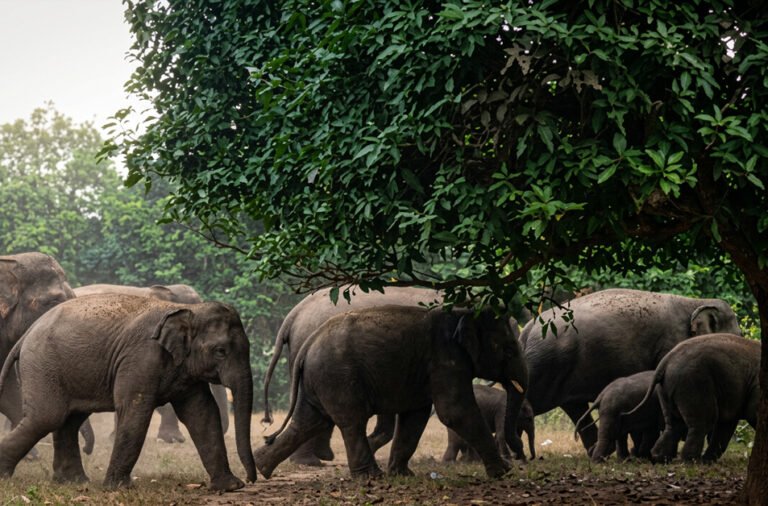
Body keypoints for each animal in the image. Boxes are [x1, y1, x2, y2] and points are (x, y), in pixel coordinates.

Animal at [254, 305, 528, 479]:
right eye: (509, 350)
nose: (518, 460)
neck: (464, 313)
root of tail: (308, 343)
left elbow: (415, 415)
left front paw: (403, 475)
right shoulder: (446, 360)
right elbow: (454, 412)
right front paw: (504, 473)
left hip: (318, 379)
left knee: (309, 422)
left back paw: (260, 466)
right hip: (337, 376)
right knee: (351, 421)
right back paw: (370, 478)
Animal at [519, 288, 741, 452]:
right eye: (738, 334)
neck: (694, 302)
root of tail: (527, 329)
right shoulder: (670, 345)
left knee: (574, 406)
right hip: (546, 364)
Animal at [627, 333, 759, 463]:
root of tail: (666, 361)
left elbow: (727, 422)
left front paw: (708, 461)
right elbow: (751, 414)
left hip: (666, 388)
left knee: (674, 424)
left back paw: (659, 458)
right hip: (693, 382)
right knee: (704, 421)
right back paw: (691, 461)